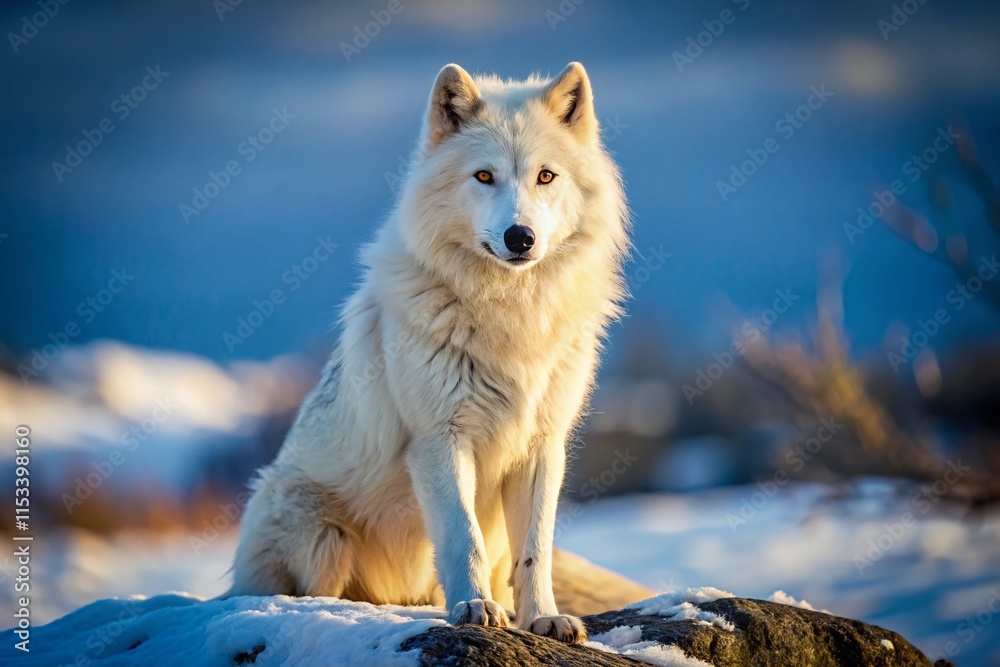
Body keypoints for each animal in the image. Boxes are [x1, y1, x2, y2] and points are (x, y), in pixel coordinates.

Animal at [227, 62, 633, 644]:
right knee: (315, 592)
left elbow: (536, 551)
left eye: (546, 176)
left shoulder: (542, 446)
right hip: (317, 529)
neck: (509, 314)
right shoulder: (440, 439)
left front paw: (542, 619)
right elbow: (464, 537)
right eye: (483, 176)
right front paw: (474, 609)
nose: (520, 236)